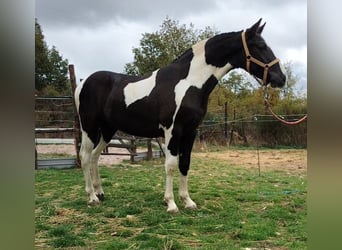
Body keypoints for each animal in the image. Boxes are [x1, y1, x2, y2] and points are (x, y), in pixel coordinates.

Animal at [74, 19, 286, 213]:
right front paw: (171, 204)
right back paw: (92, 197)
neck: (189, 82)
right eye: (260, 46)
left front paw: (187, 201)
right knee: (85, 156)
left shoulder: (190, 131)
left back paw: (100, 193)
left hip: (108, 129)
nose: (281, 78)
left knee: (95, 156)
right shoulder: (172, 131)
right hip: (89, 127)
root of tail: (83, 83)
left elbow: (185, 163)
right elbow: (170, 164)